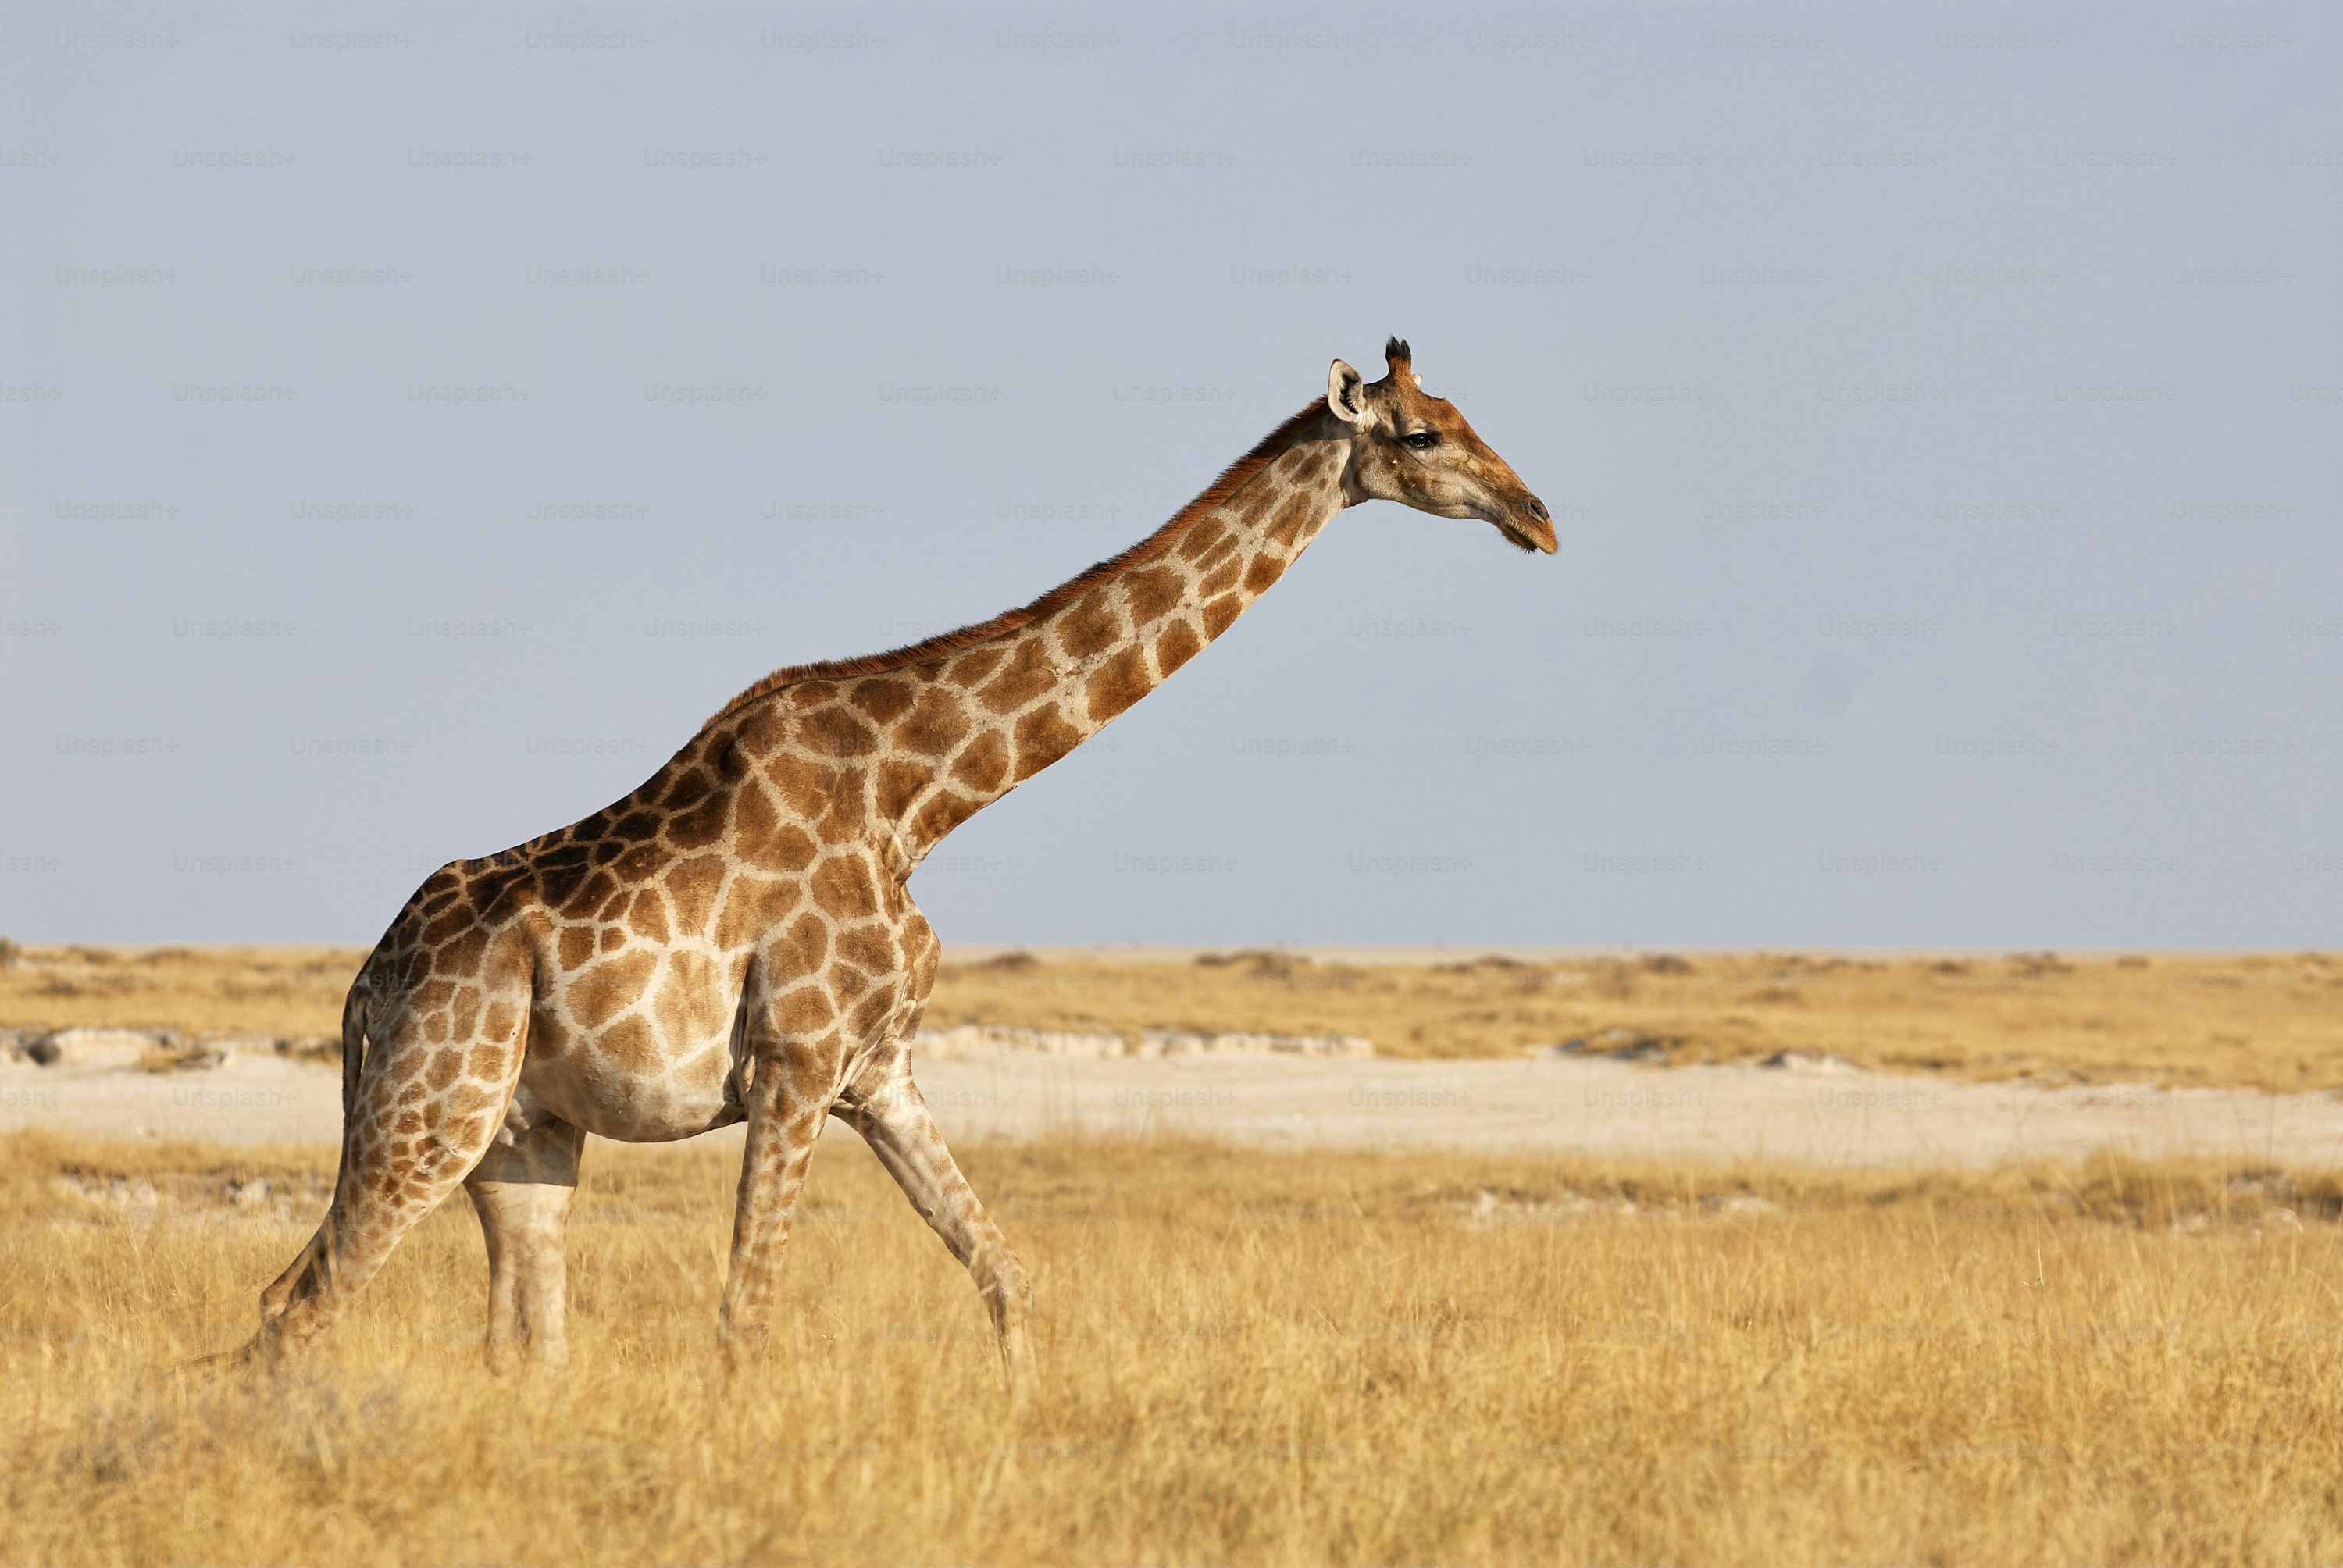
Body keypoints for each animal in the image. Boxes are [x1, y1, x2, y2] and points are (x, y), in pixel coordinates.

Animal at [246, 339, 1553, 1389]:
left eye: (1469, 412)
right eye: (1424, 432)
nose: (1538, 514)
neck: (923, 800)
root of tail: (363, 990)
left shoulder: (881, 1072)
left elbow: (1007, 1277)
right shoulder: (795, 1064)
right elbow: (746, 1316)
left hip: (523, 1141)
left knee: (514, 1339)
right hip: (432, 1112)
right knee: (294, 1310)